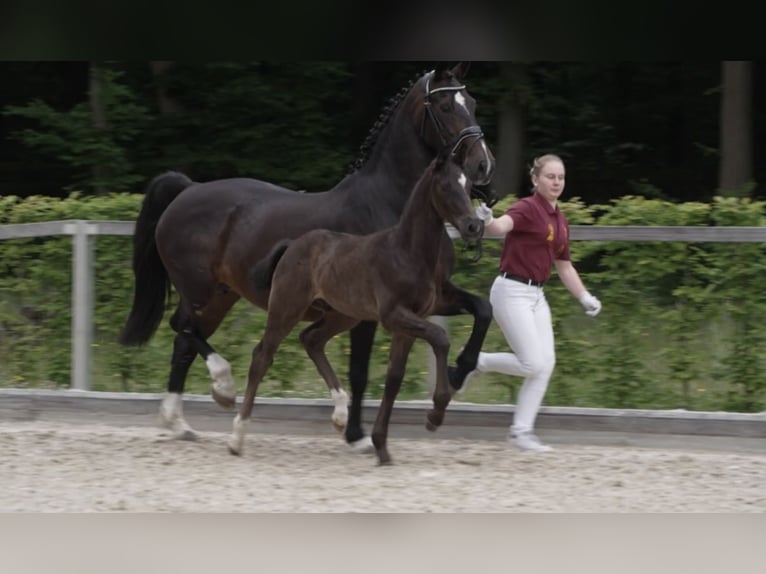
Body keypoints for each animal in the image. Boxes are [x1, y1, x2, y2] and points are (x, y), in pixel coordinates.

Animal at [231, 150, 488, 468]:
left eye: (468, 187)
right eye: (445, 186)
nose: (474, 226)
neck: (407, 253)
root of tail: (292, 245)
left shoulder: (416, 316)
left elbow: (395, 376)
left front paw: (381, 446)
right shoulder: (393, 316)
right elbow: (440, 338)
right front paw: (436, 413)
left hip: (342, 315)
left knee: (311, 340)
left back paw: (340, 415)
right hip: (286, 308)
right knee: (262, 357)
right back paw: (237, 438)